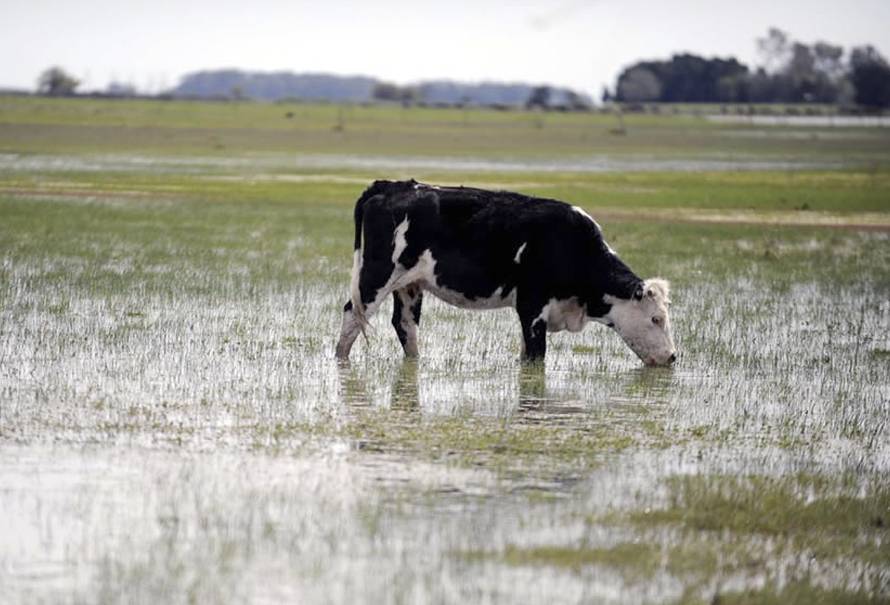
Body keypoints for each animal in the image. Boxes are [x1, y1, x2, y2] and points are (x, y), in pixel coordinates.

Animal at [336, 179, 676, 366]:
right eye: (656, 319)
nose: (673, 357)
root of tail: (392, 186)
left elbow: (526, 355)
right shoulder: (533, 306)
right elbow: (536, 356)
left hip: (410, 285)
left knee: (405, 324)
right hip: (376, 276)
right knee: (352, 314)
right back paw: (341, 359)